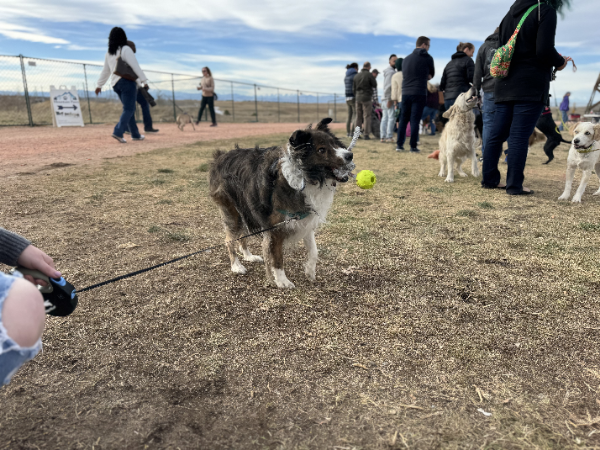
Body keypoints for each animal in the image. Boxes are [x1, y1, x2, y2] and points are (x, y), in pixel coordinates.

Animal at [210, 118, 354, 288]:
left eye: (335, 144)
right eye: (321, 150)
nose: (349, 155)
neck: (304, 177)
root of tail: (220, 157)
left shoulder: (304, 218)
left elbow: (314, 251)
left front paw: (310, 271)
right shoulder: (276, 228)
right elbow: (277, 257)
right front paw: (281, 280)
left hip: (245, 210)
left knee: (242, 236)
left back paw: (249, 256)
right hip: (233, 212)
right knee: (229, 239)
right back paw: (236, 266)